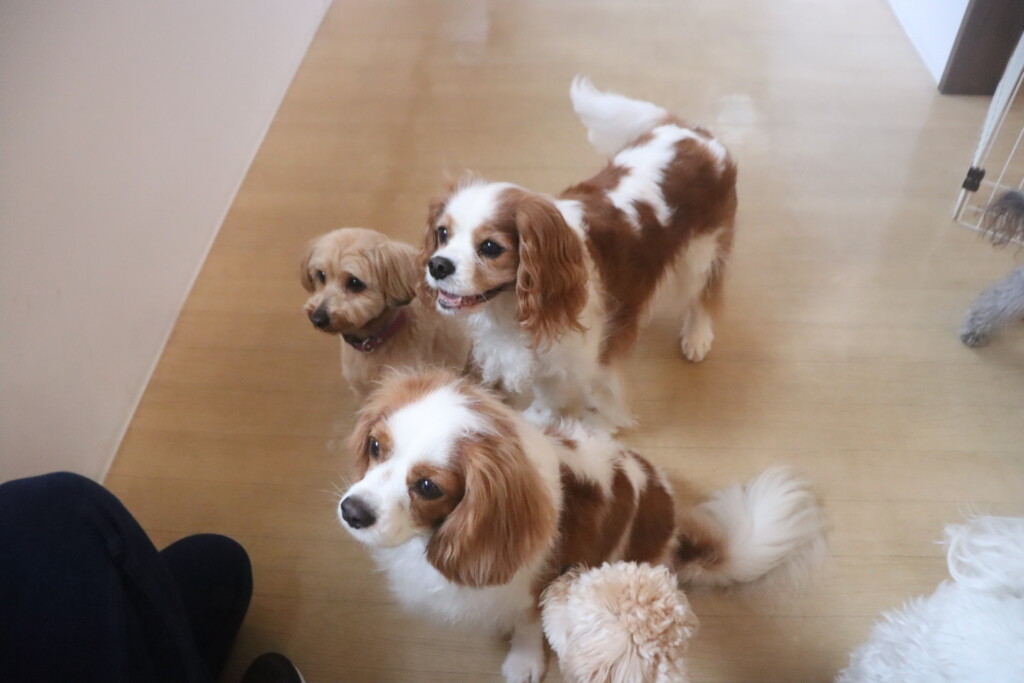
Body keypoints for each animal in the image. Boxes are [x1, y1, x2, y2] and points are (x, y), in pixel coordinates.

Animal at [420, 77, 737, 432]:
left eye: (490, 247)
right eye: (442, 234)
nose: (437, 265)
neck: (510, 308)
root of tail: (695, 134)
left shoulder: (596, 361)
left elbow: (596, 407)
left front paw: (590, 437)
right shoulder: (546, 355)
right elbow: (546, 394)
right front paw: (535, 422)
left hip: (701, 253)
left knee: (704, 293)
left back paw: (697, 336)